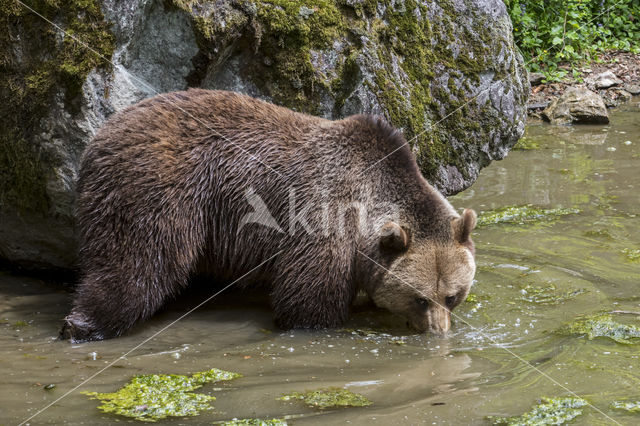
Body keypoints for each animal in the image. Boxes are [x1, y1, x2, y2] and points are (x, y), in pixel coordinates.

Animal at [60, 89, 476, 342]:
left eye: (453, 295)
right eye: (419, 298)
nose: (439, 331)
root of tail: (102, 134)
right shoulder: (323, 220)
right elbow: (308, 299)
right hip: (157, 189)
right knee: (139, 262)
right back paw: (83, 325)